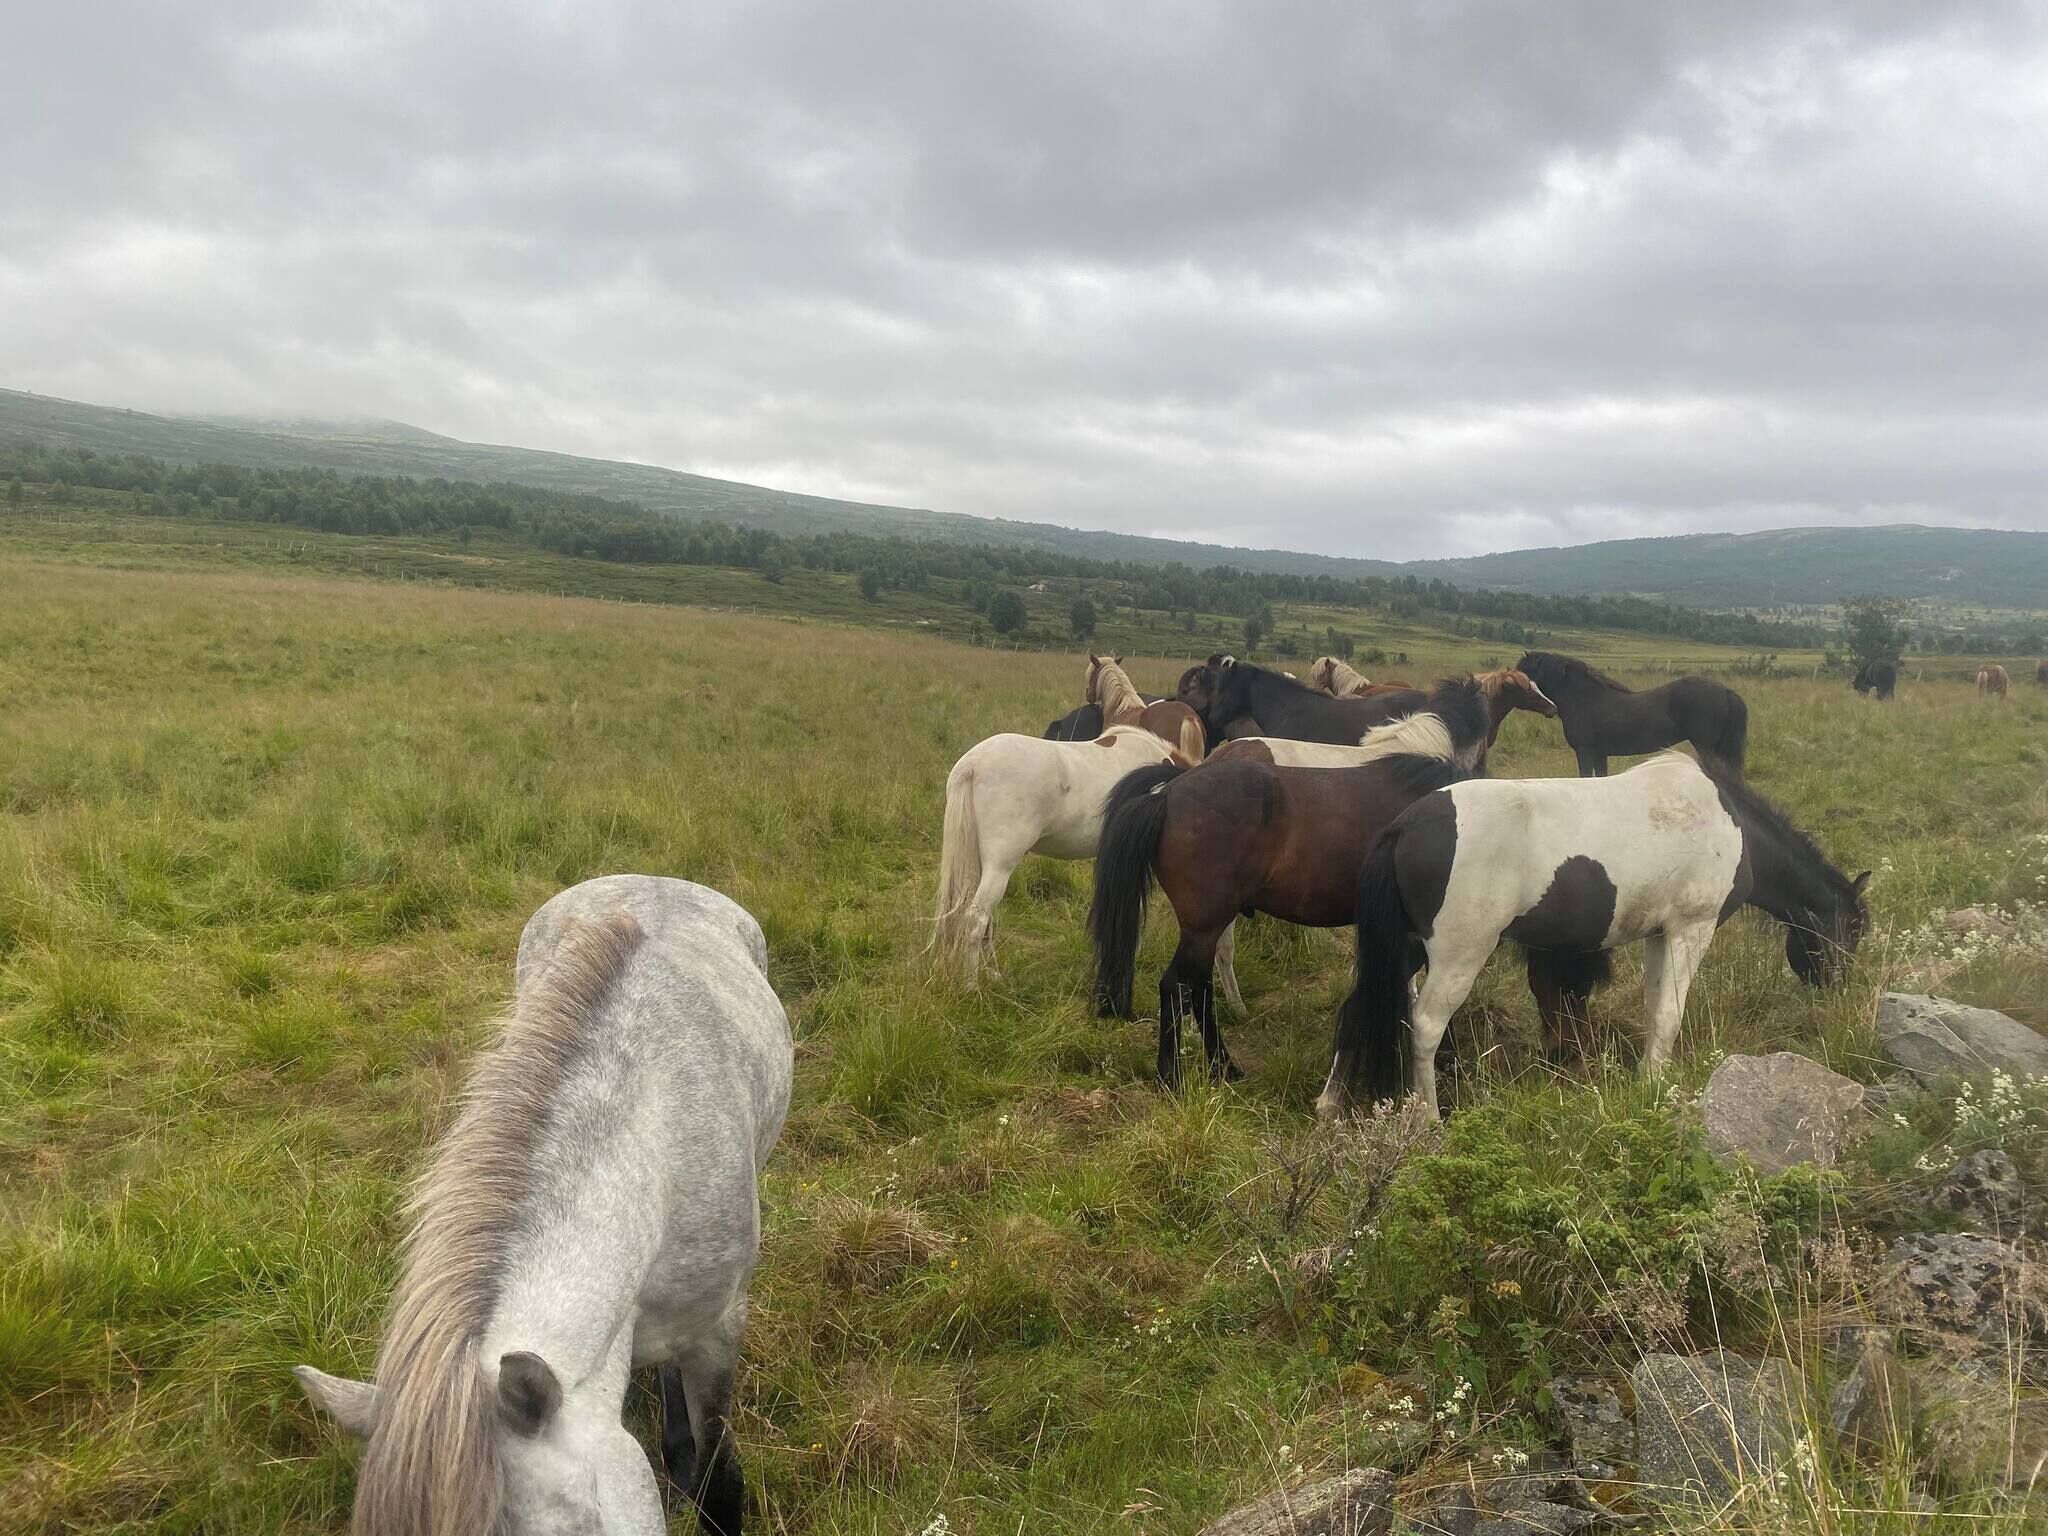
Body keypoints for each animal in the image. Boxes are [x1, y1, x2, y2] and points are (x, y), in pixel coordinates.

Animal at [933, 725, 1246, 1007]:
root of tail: (972, 764)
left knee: (983, 921)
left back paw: (993, 976)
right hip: (999, 866)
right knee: (976, 920)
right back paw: (972, 987)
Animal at [1087, 678, 1493, 1086]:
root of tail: (1171, 792)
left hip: (1207, 926)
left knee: (1198, 987)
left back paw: (1223, 1066)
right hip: (1204, 925)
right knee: (1177, 986)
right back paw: (1172, 1075)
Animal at [1320, 754, 1870, 1119]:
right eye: (1853, 930)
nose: (1838, 991)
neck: (1724, 819)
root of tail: (1406, 825)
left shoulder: (1658, 933)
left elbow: (1654, 1009)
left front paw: (1647, 1079)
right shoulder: (1691, 928)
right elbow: (1669, 1013)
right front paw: (1655, 1086)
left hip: (1405, 949)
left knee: (1360, 1007)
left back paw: (1330, 1103)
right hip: (1458, 956)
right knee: (1426, 1025)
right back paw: (1429, 1119)